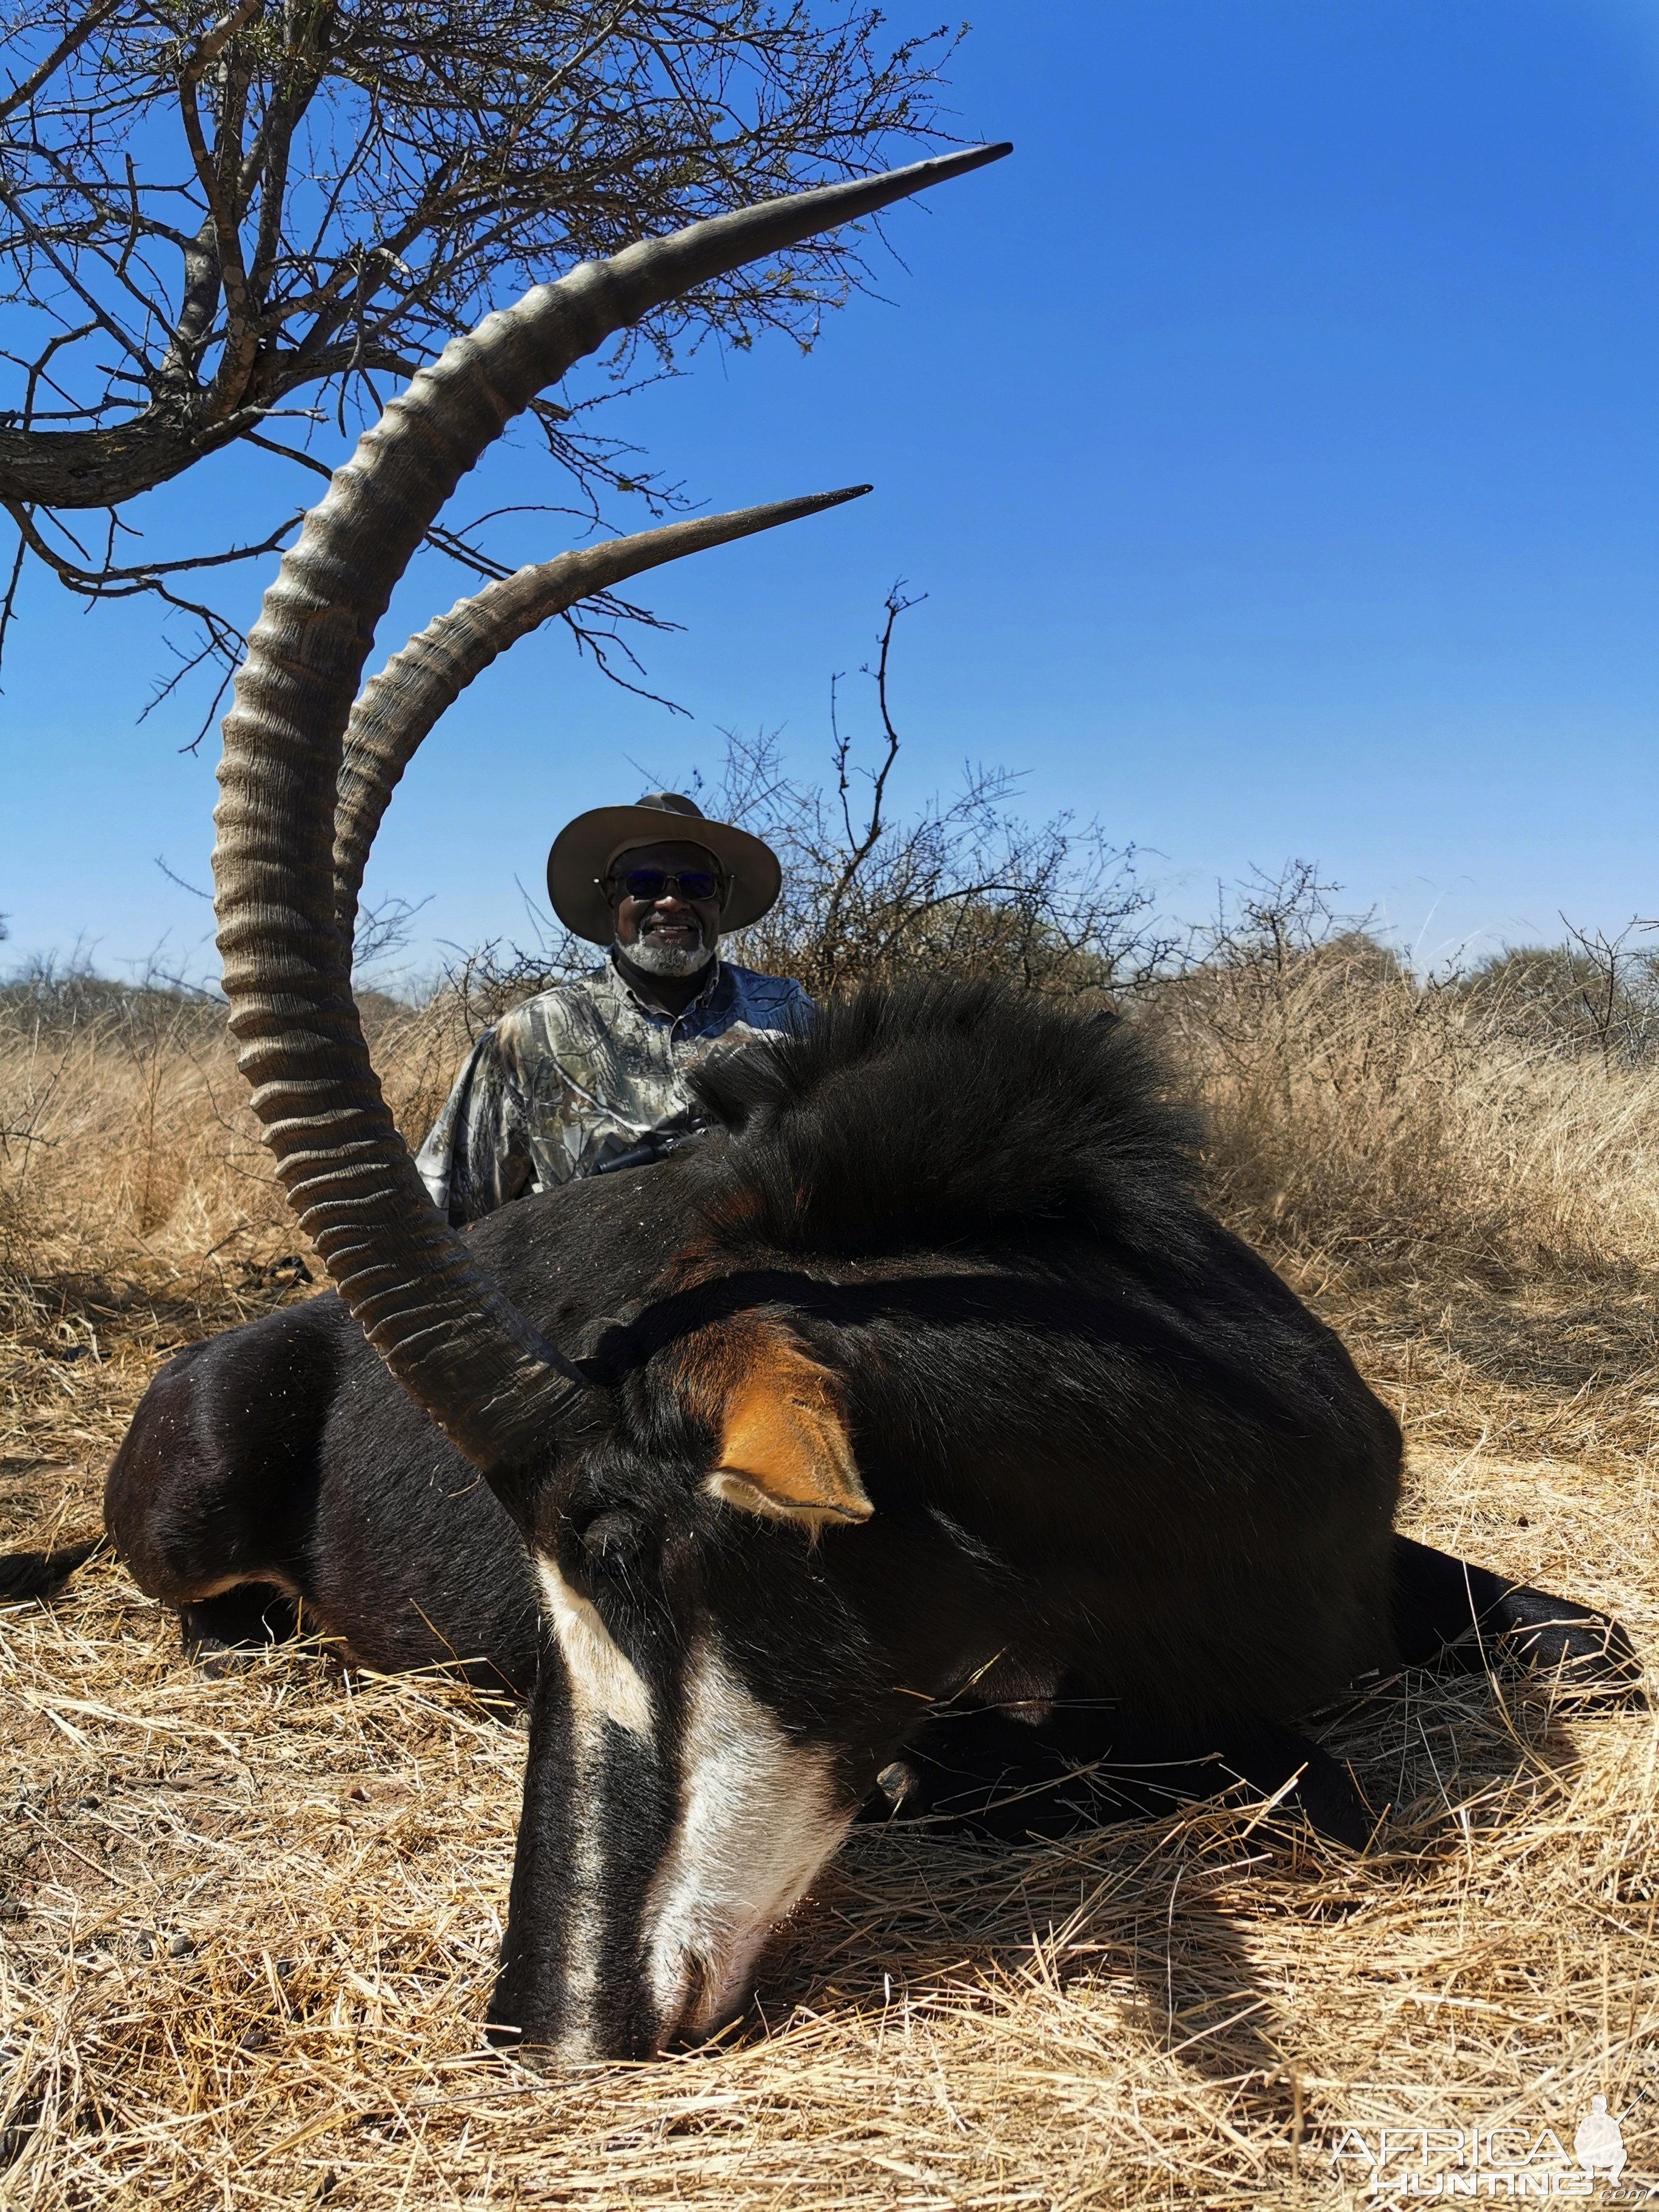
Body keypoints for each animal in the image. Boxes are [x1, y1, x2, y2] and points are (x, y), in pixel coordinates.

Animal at [13, 147, 1646, 2061]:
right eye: (546, 1597)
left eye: (632, 1548)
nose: (553, 2021)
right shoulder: (977, 1723)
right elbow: (1303, 1778)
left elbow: (1577, 1651)